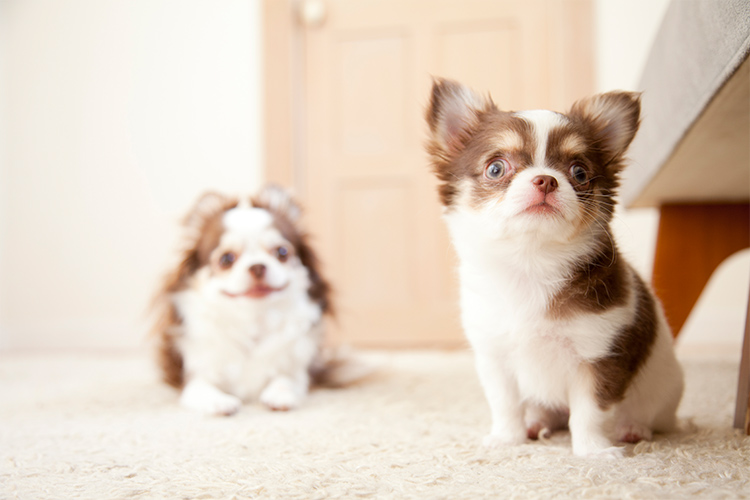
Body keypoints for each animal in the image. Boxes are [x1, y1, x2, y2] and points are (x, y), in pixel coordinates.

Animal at [153, 184, 334, 414]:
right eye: (226, 259)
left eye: (282, 252)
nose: (257, 266)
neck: (253, 321)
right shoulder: (193, 375)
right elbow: (201, 386)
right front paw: (220, 401)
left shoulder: (297, 370)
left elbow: (286, 379)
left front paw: (279, 395)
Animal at [426, 78, 684, 458]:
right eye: (496, 168)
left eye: (579, 173)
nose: (546, 179)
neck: (531, 263)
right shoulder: (495, 356)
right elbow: (505, 405)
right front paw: (507, 439)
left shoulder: (601, 355)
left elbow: (590, 411)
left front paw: (593, 451)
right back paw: (537, 424)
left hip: (664, 390)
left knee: (647, 415)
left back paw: (634, 429)